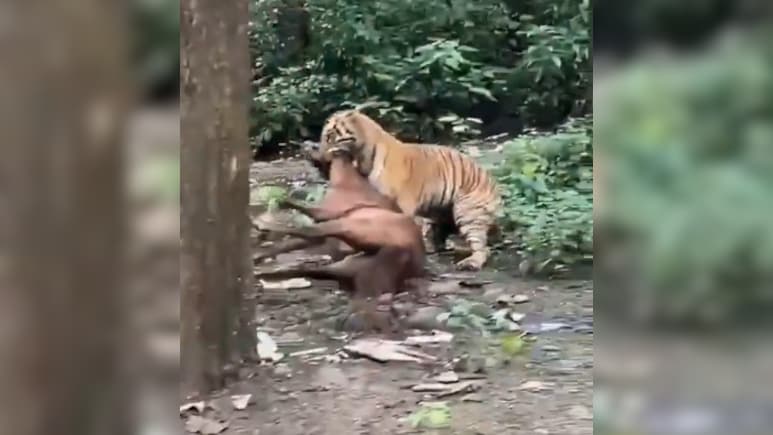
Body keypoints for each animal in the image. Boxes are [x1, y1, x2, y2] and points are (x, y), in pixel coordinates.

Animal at [308, 109, 501, 271]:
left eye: (329, 137)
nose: (318, 158)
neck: (361, 159)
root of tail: (492, 181)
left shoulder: (399, 206)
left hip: (468, 213)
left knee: (482, 247)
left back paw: (471, 262)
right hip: (439, 214)